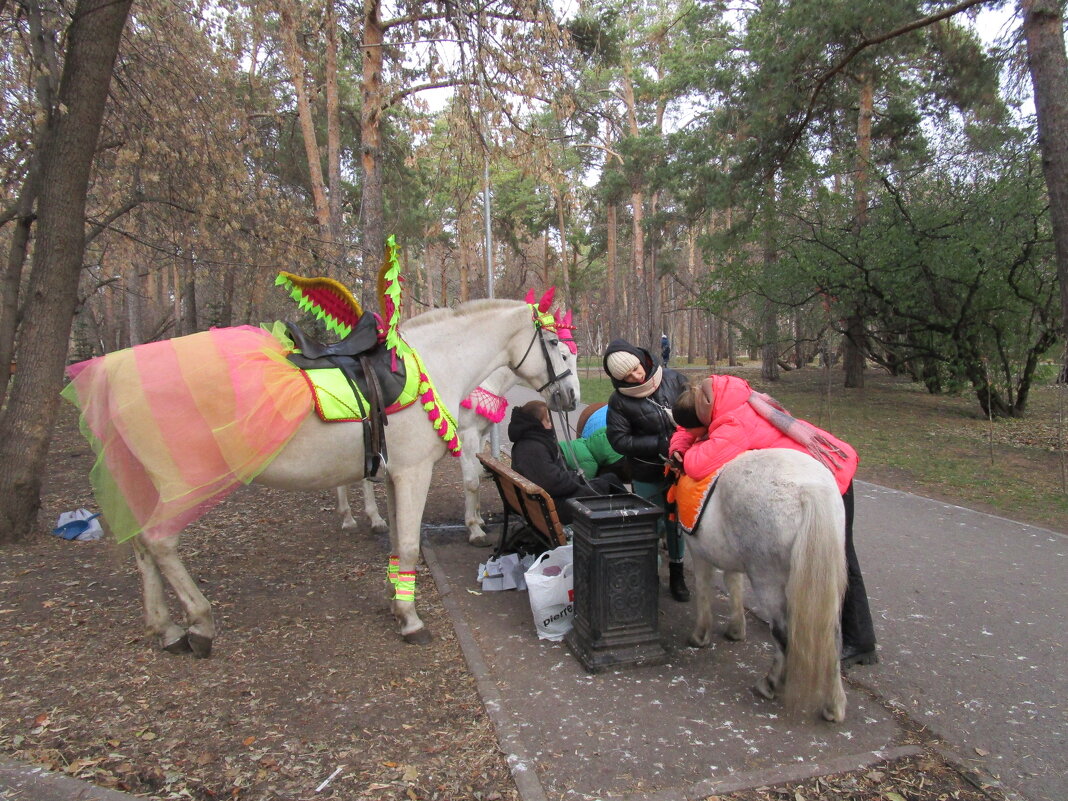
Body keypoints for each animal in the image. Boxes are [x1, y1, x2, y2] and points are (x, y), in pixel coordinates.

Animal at [335, 367, 514, 551]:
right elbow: (471, 482)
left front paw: (479, 520)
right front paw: (475, 530)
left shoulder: (481, 436)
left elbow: (477, 475)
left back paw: (359, 519)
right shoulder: (467, 436)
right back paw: (360, 520)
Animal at [683, 452, 850, 721]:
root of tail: (810, 490)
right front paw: (736, 629)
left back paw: (770, 684)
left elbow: (704, 588)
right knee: (833, 637)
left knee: (783, 634)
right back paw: (833, 705)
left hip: (768, 582)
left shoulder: (698, 551)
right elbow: (734, 584)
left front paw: (700, 635)